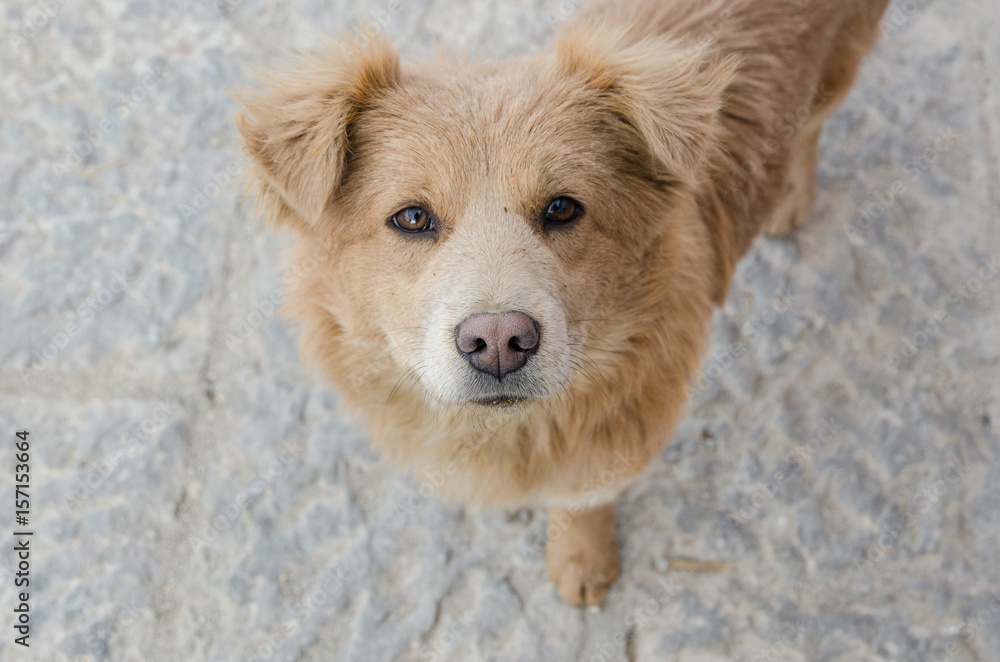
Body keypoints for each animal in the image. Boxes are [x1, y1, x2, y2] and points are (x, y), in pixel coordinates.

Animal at [236, 0, 892, 608]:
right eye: (412, 218)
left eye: (561, 208)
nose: (499, 341)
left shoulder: (619, 437)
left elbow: (583, 499)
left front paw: (581, 560)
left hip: (838, 70)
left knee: (811, 125)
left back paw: (792, 195)